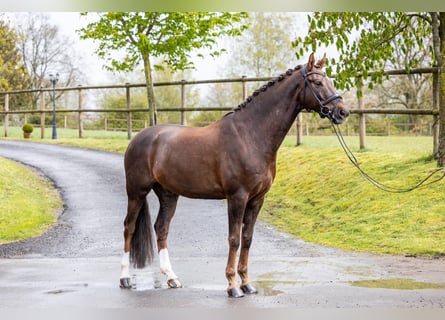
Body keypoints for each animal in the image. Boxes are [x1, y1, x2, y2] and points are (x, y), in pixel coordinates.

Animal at [119, 53, 348, 298]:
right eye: (317, 82)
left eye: (329, 80)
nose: (343, 112)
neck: (250, 135)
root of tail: (139, 138)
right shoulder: (237, 197)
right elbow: (234, 239)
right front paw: (232, 286)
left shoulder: (257, 199)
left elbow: (247, 238)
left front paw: (247, 283)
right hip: (136, 191)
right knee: (129, 228)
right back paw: (125, 278)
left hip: (168, 194)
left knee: (161, 229)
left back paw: (172, 278)